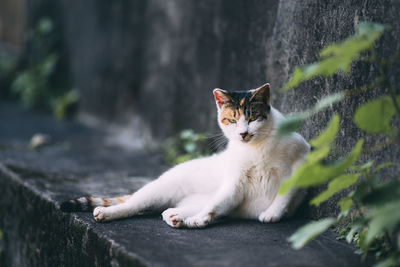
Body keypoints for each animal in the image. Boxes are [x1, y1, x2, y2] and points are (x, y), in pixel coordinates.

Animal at [60, 83, 310, 228]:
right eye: (231, 120)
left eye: (252, 118)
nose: (243, 133)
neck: (255, 148)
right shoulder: (235, 181)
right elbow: (216, 204)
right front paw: (201, 220)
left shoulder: (302, 160)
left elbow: (285, 192)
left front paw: (273, 213)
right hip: (162, 187)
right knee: (134, 204)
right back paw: (107, 213)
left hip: (194, 199)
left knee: (179, 207)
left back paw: (176, 216)